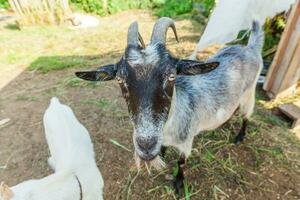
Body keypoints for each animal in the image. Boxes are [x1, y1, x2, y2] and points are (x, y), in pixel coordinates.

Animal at [76, 17, 264, 192]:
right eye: (119, 79)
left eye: (172, 75)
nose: (146, 146)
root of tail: (250, 48)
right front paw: (163, 154)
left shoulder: (186, 142)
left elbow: (181, 162)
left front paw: (179, 184)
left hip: (250, 93)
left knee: (247, 115)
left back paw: (239, 136)